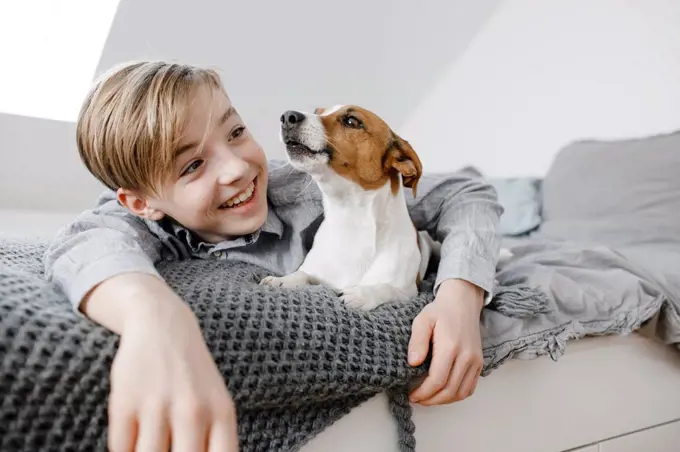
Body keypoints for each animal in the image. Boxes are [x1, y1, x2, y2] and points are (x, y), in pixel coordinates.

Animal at [258, 106, 438, 310]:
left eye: (352, 121)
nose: (287, 116)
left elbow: (386, 288)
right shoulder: (315, 272)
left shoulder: (408, 291)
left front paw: (362, 294)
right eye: (317, 111)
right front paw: (281, 280)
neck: (350, 221)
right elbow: (301, 275)